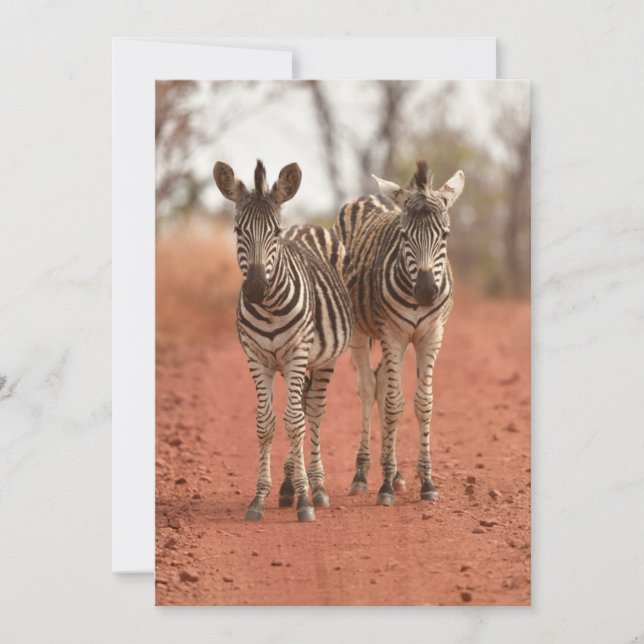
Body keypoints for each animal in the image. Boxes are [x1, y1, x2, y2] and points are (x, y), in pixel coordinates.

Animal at [213, 159, 353, 522]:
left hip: (323, 359)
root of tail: (305, 226)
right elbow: (266, 424)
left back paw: (316, 487)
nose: (255, 288)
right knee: (302, 409)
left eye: (274, 233)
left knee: (312, 412)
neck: (270, 307)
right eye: (238, 231)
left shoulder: (295, 355)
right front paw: (260, 498)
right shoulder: (256, 358)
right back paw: (289, 486)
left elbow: (294, 422)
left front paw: (305, 499)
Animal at [332, 160, 465, 506]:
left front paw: (426, 481)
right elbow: (394, 404)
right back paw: (363, 475)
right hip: (360, 333)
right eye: (404, 235)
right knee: (368, 389)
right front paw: (385, 487)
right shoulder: (392, 334)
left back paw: (395, 472)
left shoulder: (431, 335)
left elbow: (423, 403)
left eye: (445, 235)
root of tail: (367, 197)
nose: (426, 291)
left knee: (380, 383)